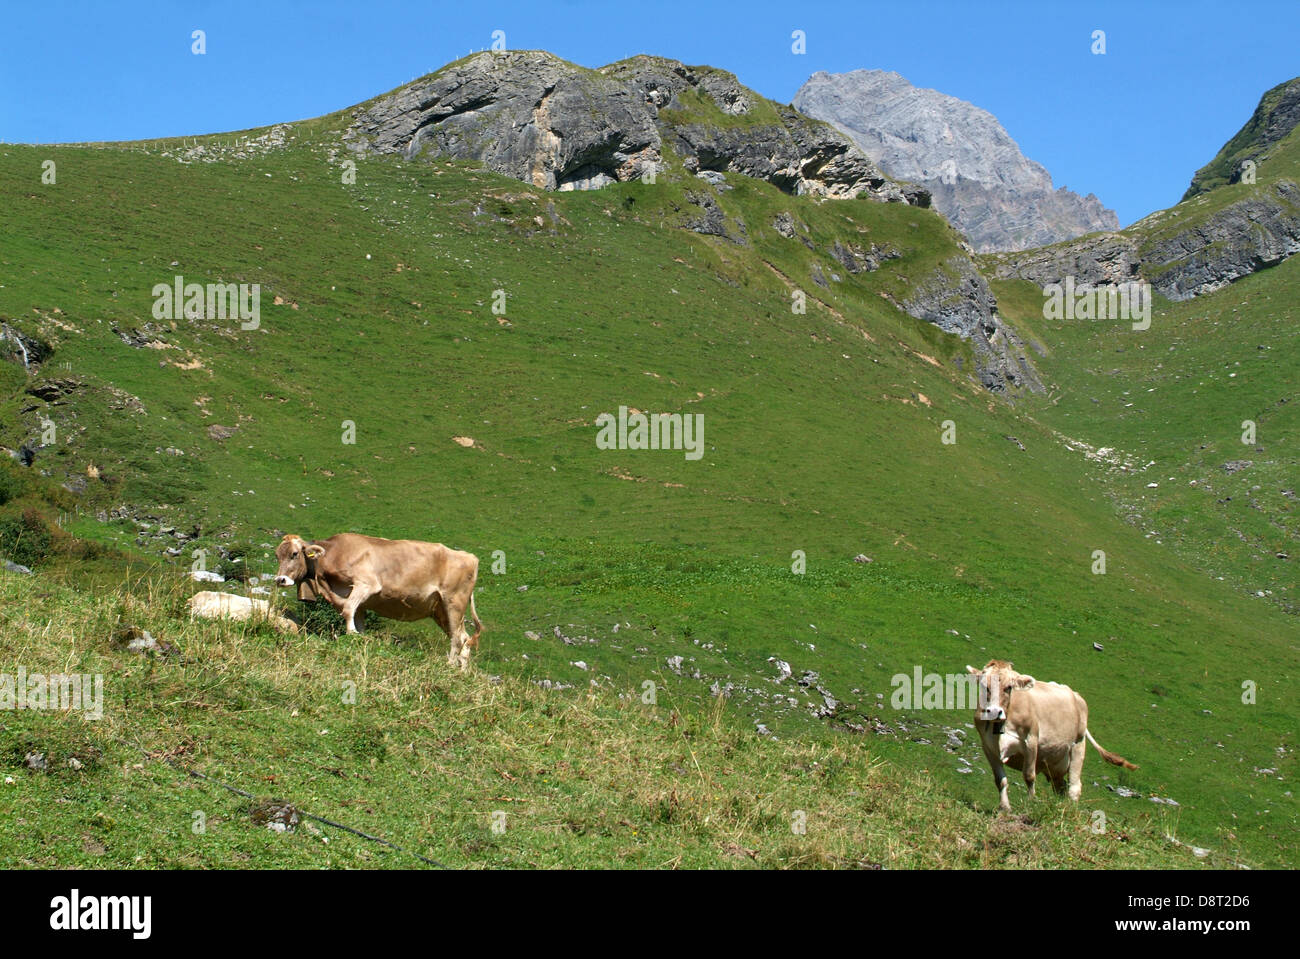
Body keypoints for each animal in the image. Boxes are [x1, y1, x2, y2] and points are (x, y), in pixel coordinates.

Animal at [274, 530, 483, 665]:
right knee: (463, 638)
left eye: (294, 554)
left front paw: (351, 634)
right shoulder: (359, 603)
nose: (280, 579)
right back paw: (461, 672)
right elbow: (356, 618)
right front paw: (358, 638)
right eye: (277, 555)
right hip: (440, 609)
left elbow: (347, 610)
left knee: (457, 639)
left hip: (454, 601)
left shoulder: (367, 584)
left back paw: (450, 665)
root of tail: (470, 557)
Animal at [967, 657, 1138, 805]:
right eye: (983, 685)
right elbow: (1000, 780)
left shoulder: (1031, 741)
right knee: (1060, 787)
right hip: (1054, 763)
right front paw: (1004, 808)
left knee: (1074, 787)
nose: (994, 711)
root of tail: (1075, 695)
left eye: (1008, 687)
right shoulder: (988, 747)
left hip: (1078, 745)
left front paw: (1030, 804)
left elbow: (1029, 776)